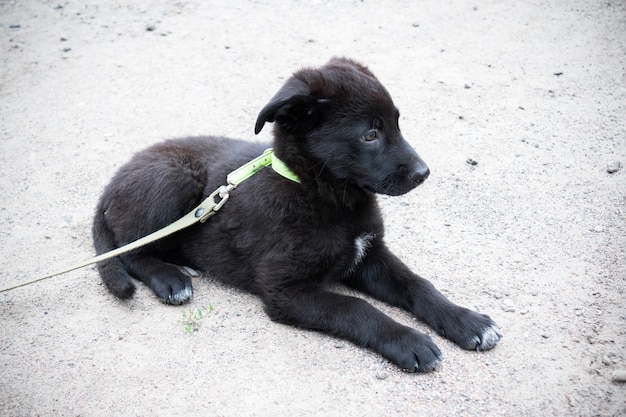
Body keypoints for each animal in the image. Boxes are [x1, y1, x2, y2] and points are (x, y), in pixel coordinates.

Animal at [92, 57, 500, 370]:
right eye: (370, 135)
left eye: (397, 123)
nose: (423, 173)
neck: (325, 196)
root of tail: (111, 183)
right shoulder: (285, 290)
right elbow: (357, 307)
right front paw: (407, 340)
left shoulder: (369, 255)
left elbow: (418, 284)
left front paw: (467, 321)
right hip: (176, 176)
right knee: (133, 251)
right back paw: (170, 278)